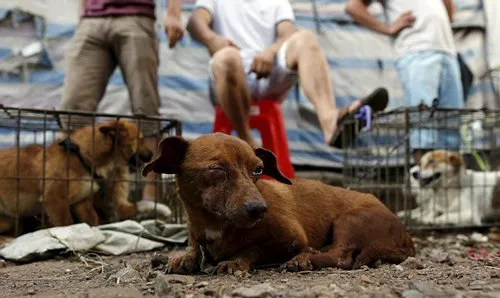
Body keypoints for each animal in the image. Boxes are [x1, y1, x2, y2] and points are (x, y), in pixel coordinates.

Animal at [0, 118, 162, 233]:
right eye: (141, 139)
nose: (153, 153)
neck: (81, 157)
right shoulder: (55, 201)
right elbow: (66, 223)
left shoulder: (81, 201)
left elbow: (92, 220)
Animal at [141, 133, 414, 274]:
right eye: (216, 169)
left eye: (258, 169)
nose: (260, 209)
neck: (216, 224)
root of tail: (406, 237)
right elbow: (194, 246)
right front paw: (183, 257)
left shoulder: (292, 239)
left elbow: (254, 249)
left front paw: (236, 261)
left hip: (349, 219)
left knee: (341, 256)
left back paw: (306, 259)